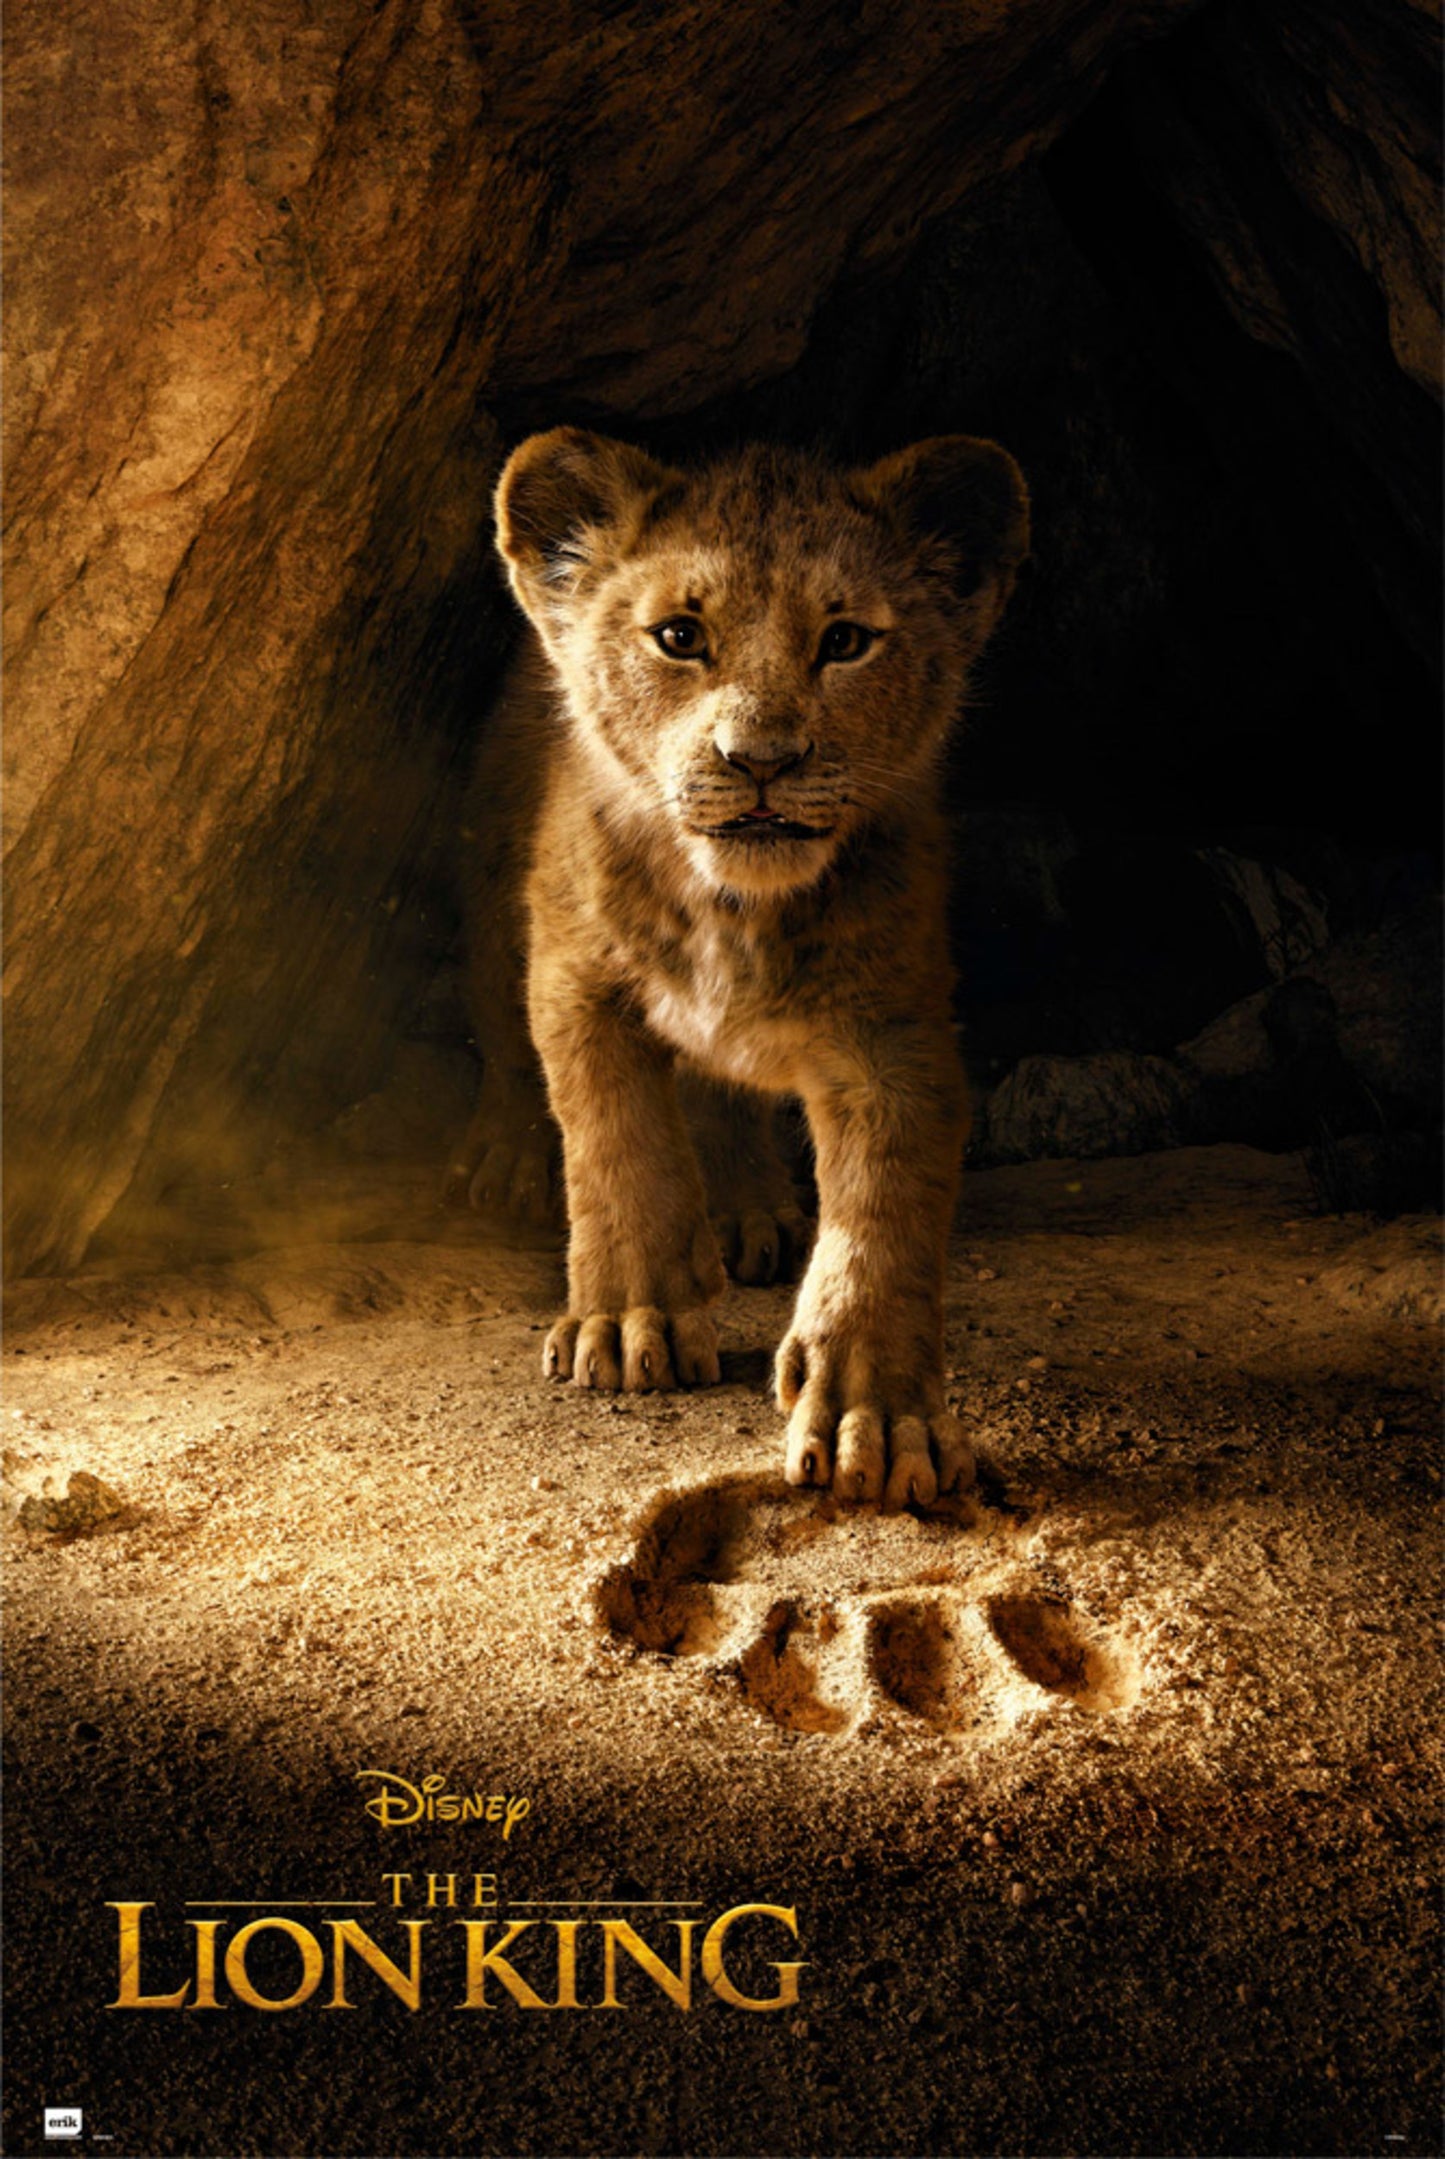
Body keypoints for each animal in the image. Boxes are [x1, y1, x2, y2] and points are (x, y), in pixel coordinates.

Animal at [448, 428, 1029, 1508]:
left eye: (844, 641)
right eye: (679, 635)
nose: (760, 758)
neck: (733, 907)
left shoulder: (892, 1031)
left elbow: (882, 1214)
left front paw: (875, 1416)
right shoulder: (576, 977)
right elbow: (616, 1144)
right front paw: (627, 1322)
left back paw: (745, 1209)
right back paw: (506, 1157)